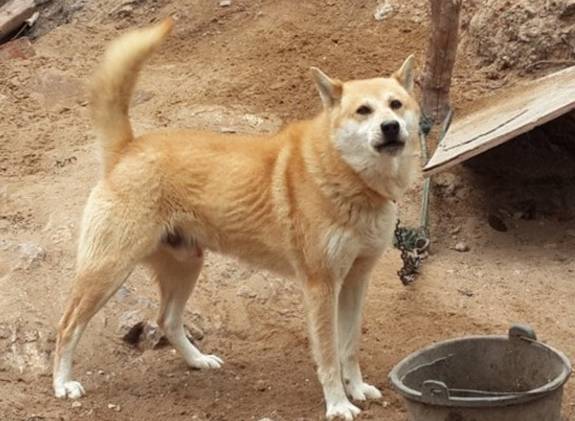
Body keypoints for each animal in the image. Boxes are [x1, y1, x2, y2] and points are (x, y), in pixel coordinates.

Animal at [53, 17, 424, 420]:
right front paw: (338, 404)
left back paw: (197, 361)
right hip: (108, 271)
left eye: (395, 105)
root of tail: (127, 148)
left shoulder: (356, 281)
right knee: (67, 326)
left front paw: (356, 389)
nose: (391, 126)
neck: (349, 178)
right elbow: (328, 355)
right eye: (363, 111)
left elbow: (349, 347)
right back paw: (62, 384)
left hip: (186, 265)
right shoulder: (321, 285)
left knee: (167, 320)